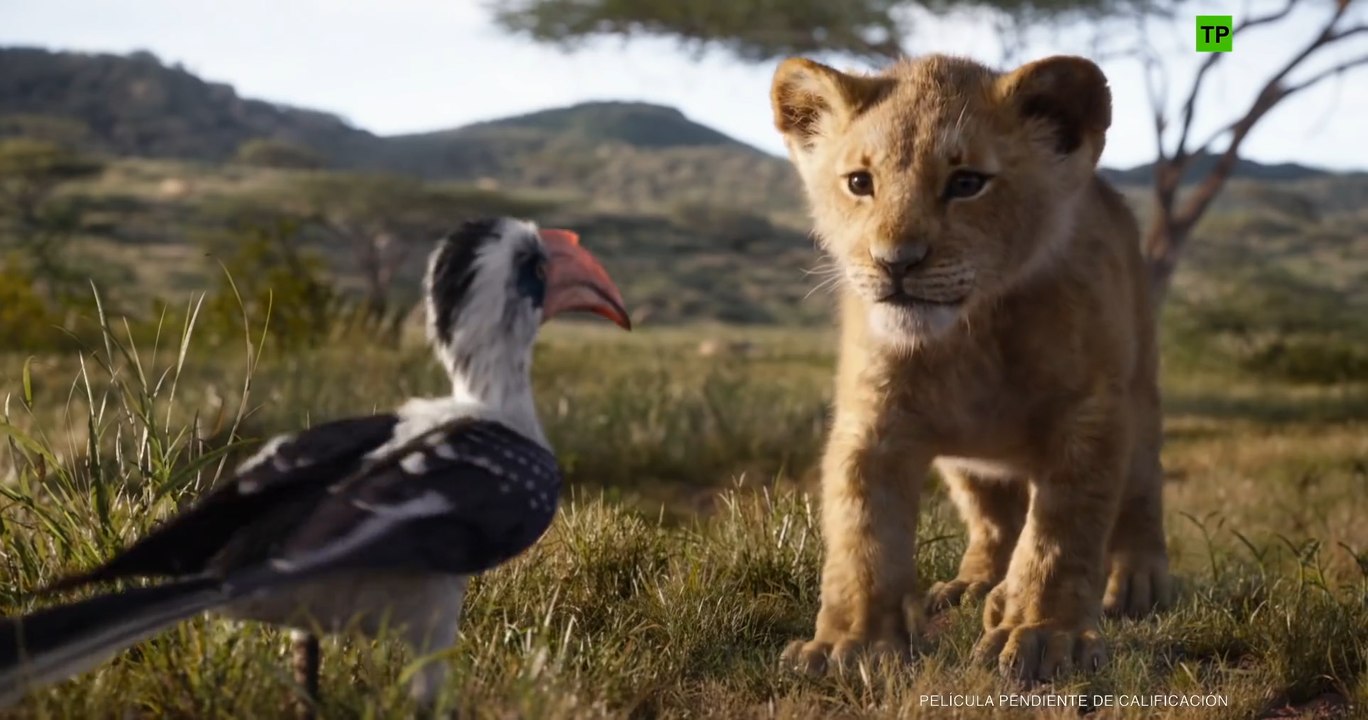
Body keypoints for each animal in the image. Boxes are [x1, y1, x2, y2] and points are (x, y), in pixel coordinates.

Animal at [768, 53, 1172, 682]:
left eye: (966, 183)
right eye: (860, 182)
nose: (895, 263)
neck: (971, 333)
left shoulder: (1090, 413)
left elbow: (1062, 532)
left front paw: (1042, 634)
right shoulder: (873, 420)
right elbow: (863, 533)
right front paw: (849, 643)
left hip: (1141, 392)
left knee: (1141, 487)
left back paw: (1135, 581)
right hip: (966, 463)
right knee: (993, 520)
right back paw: (977, 584)